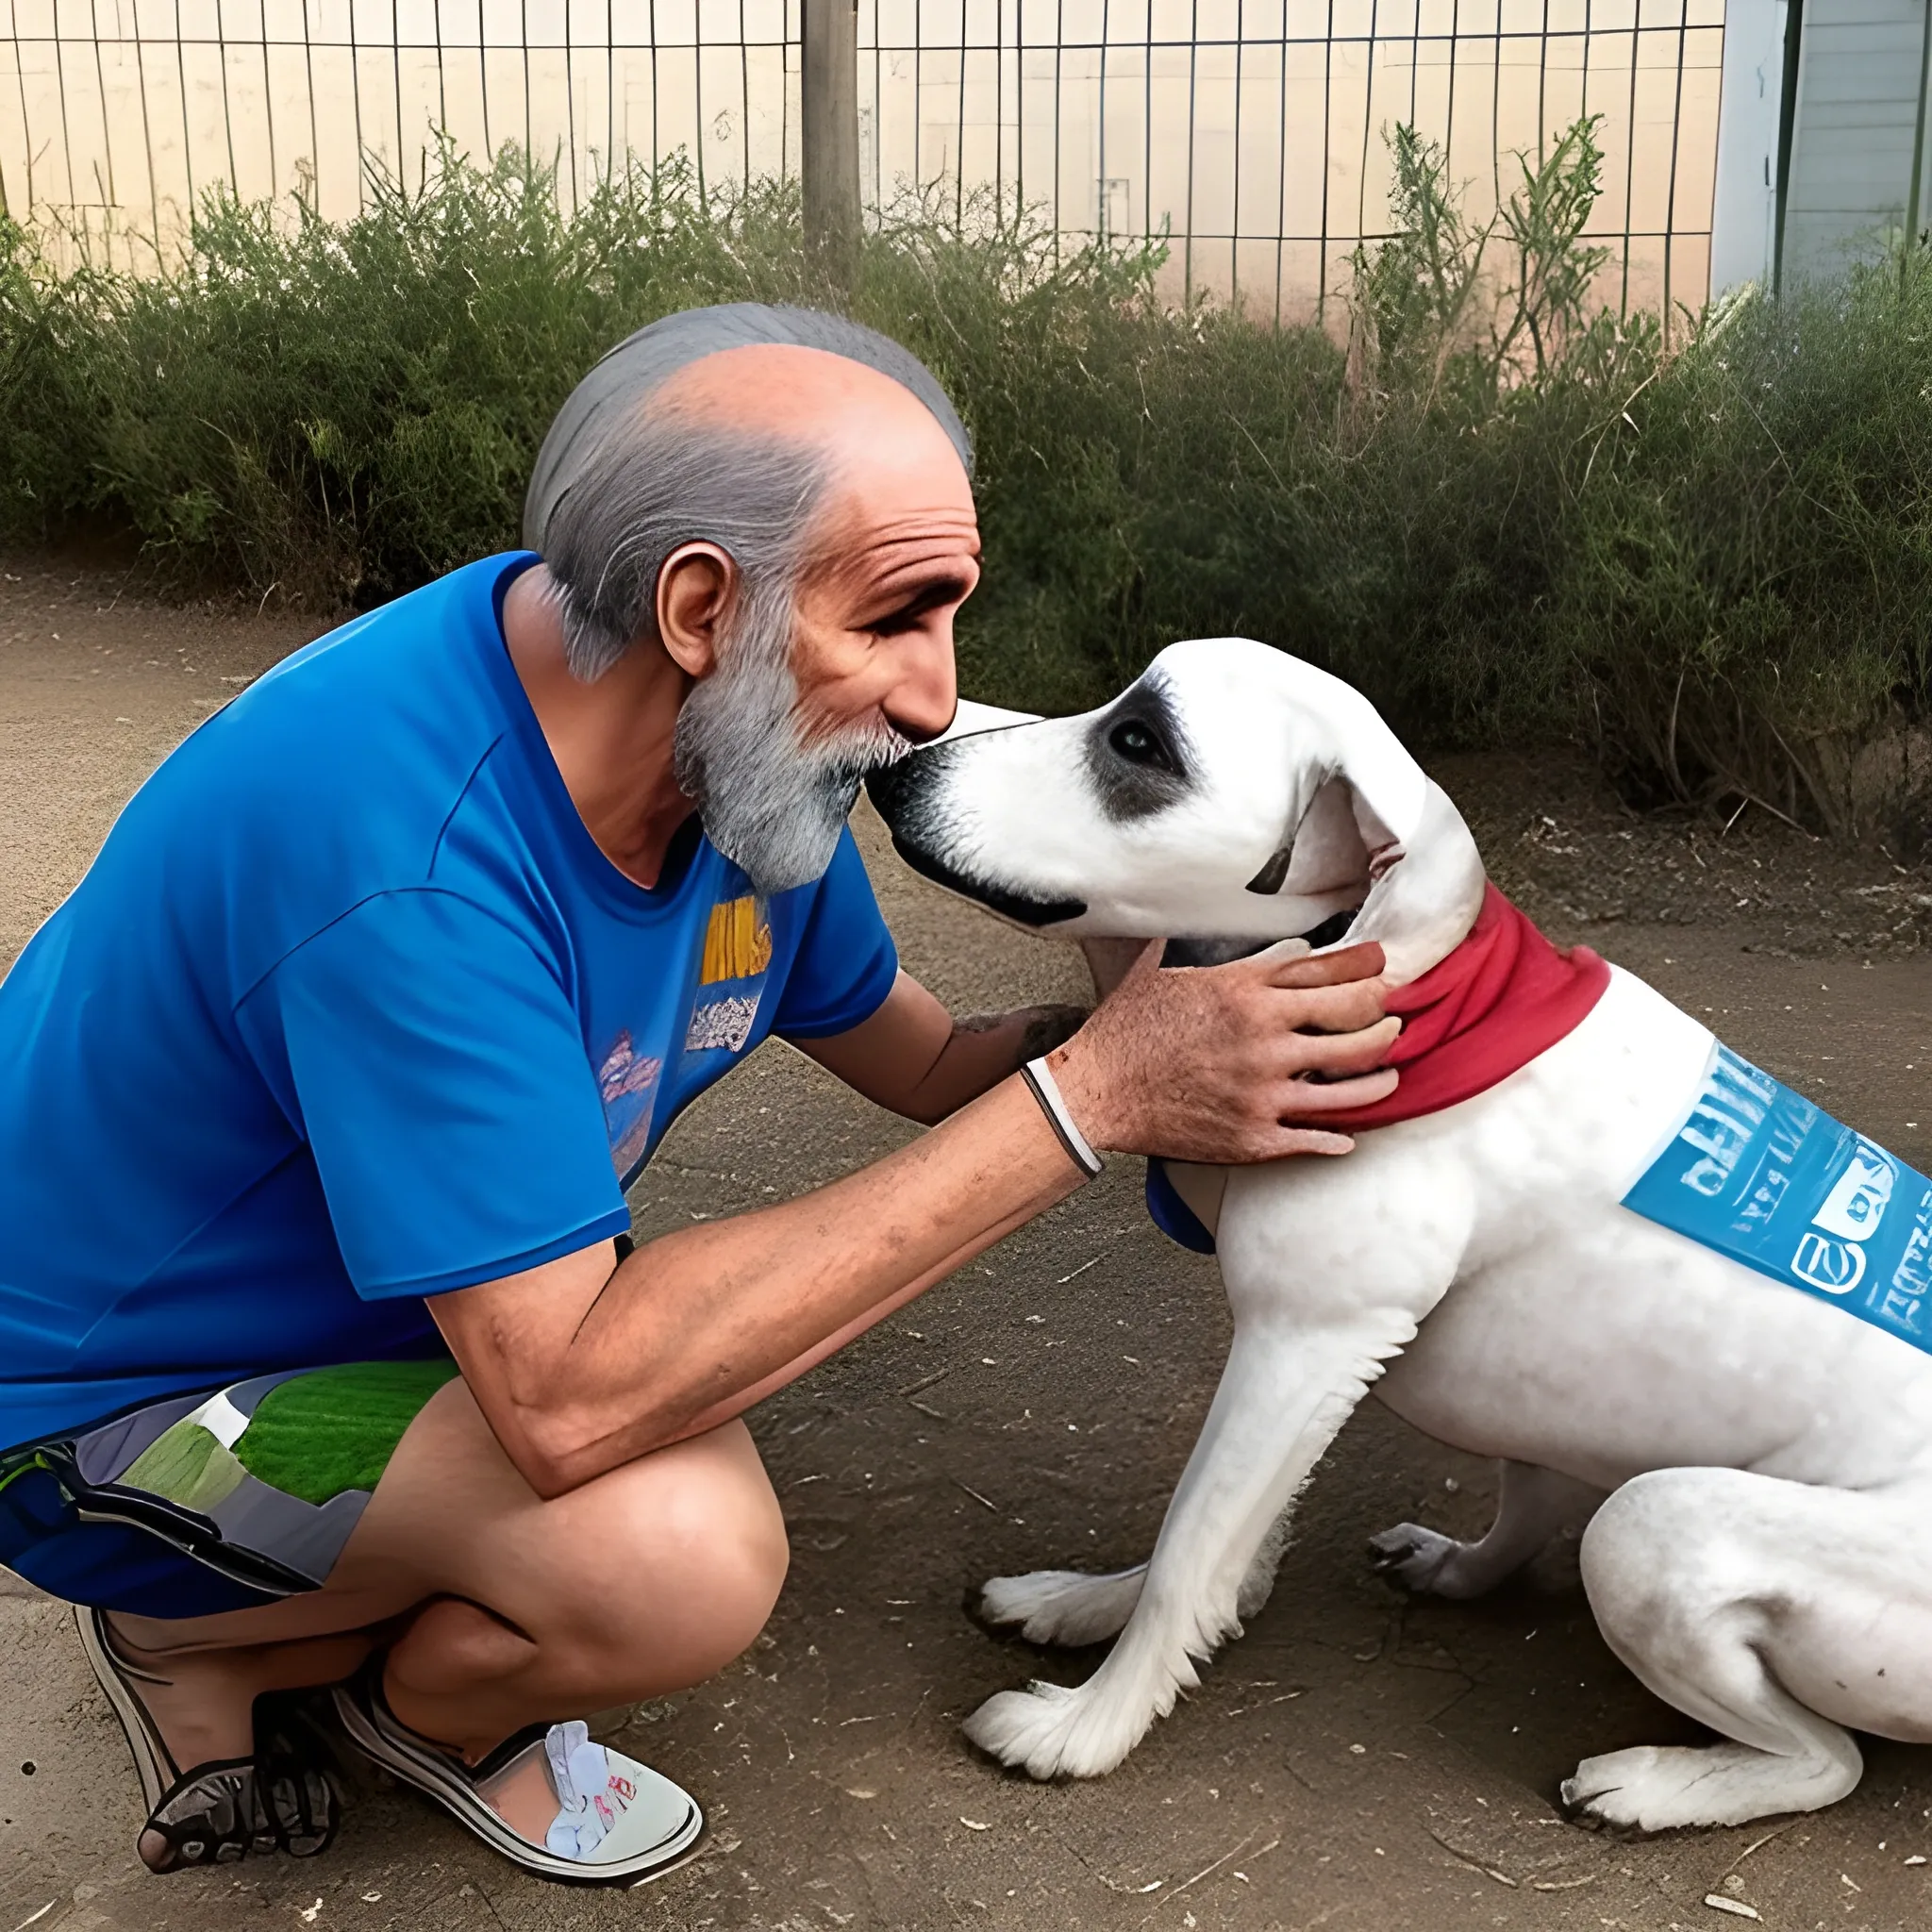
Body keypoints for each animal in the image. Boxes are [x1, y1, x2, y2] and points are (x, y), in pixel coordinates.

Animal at [873, 645, 1932, 1824]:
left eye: (1141, 742)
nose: (888, 759)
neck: (1418, 986)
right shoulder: (1301, 1365)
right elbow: (1216, 1542)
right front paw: (1089, 1601)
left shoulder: (1302, 1343)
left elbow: (1191, 1545)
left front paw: (1086, 1724)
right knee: (1531, 1505)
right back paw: (1456, 1564)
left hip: (1653, 1527)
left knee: (1825, 1757)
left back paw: (1660, 1782)